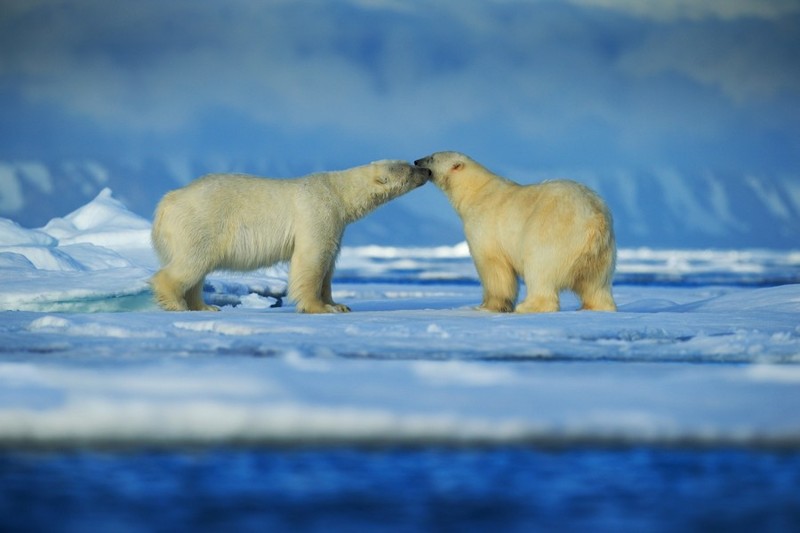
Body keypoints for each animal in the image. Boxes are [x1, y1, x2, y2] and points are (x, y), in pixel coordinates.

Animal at [147, 162, 428, 312]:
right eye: (408, 168)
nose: (424, 169)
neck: (337, 192)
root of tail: (167, 202)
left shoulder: (337, 225)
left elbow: (329, 264)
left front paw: (338, 304)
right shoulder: (317, 212)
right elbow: (312, 259)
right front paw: (319, 307)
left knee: (197, 270)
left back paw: (205, 306)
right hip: (202, 222)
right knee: (191, 264)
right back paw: (176, 304)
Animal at [416, 151, 616, 312]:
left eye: (432, 157)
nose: (417, 161)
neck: (475, 192)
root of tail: (595, 218)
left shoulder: (484, 226)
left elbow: (492, 266)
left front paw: (487, 306)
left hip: (554, 233)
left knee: (539, 269)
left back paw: (528, 306)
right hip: (602, 253)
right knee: (596, 284)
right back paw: (595, 307)